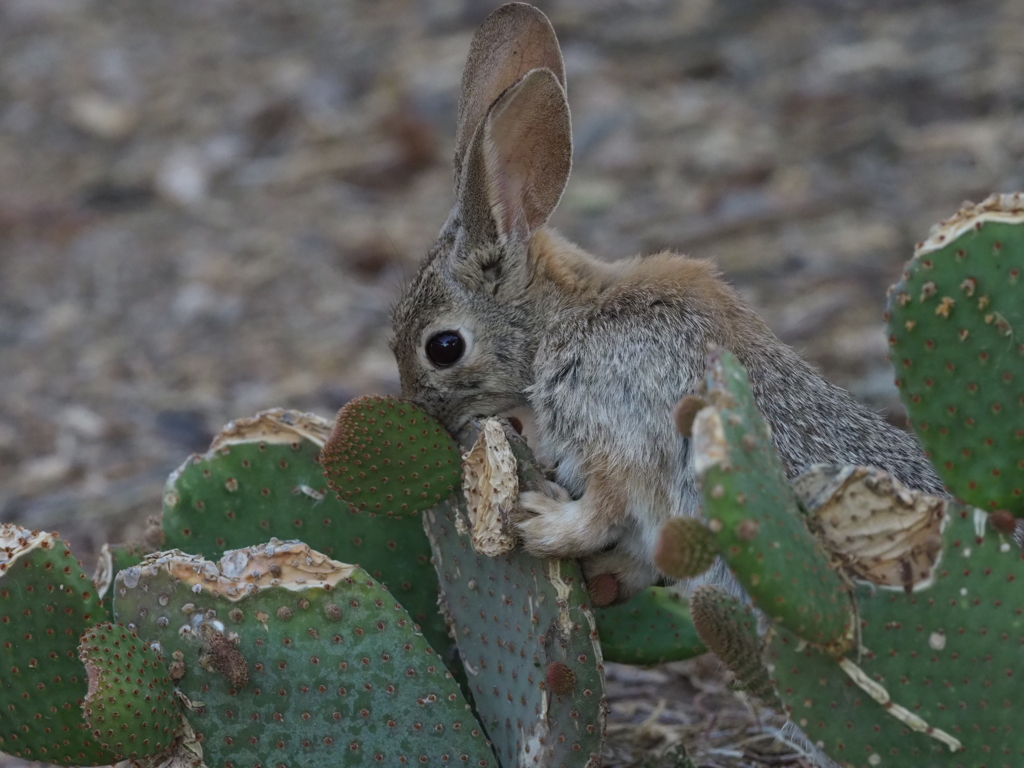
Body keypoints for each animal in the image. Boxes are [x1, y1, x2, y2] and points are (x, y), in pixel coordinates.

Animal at [389, 3, 942, 606]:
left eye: (443, 347)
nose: (423, 414)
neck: (568, 314)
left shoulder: (618, 429)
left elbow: (605, 509)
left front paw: (541, 524)